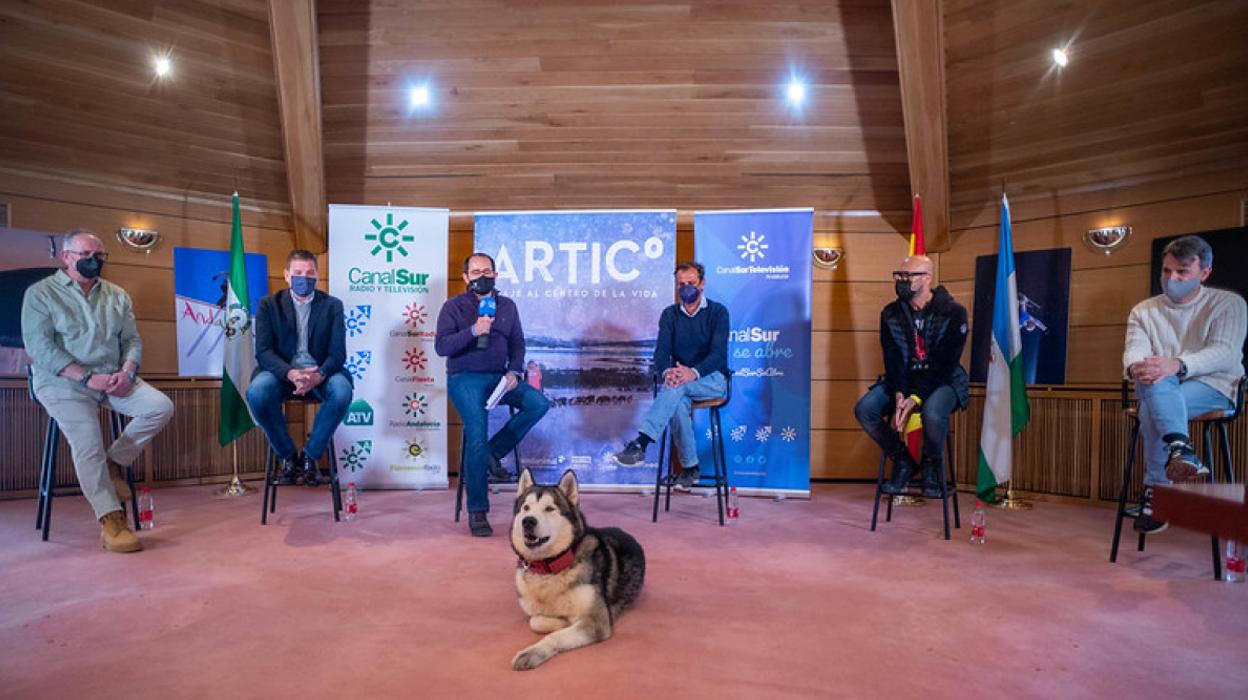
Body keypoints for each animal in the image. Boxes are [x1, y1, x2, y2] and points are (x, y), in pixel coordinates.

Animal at [506, 466, 643, 668]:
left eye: (549, 508)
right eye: (526, 508)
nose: (528, 521)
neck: (549, 568)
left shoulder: (597, 620)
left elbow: (554, 635)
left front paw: (534, 651)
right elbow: (535, 621)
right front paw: (562, 621)